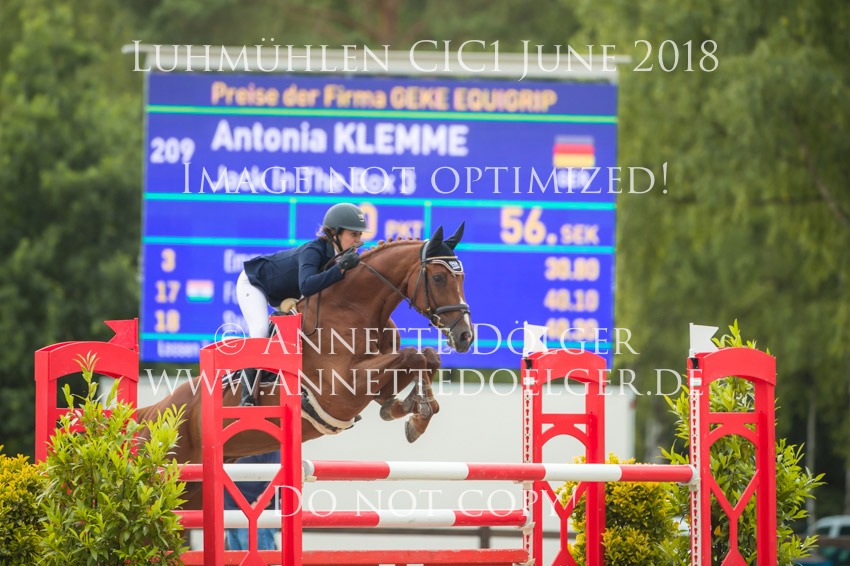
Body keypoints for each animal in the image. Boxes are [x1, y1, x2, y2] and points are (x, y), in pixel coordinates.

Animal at [136, 224, 473, 507]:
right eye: (439, 278)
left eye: (462, 278)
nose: (465, 336)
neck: (354, 308)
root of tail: (152, 412)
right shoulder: (343, 388)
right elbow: (414, 356)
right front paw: (417, 412)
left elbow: (426, 356)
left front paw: (413, 412)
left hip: (193, 487)